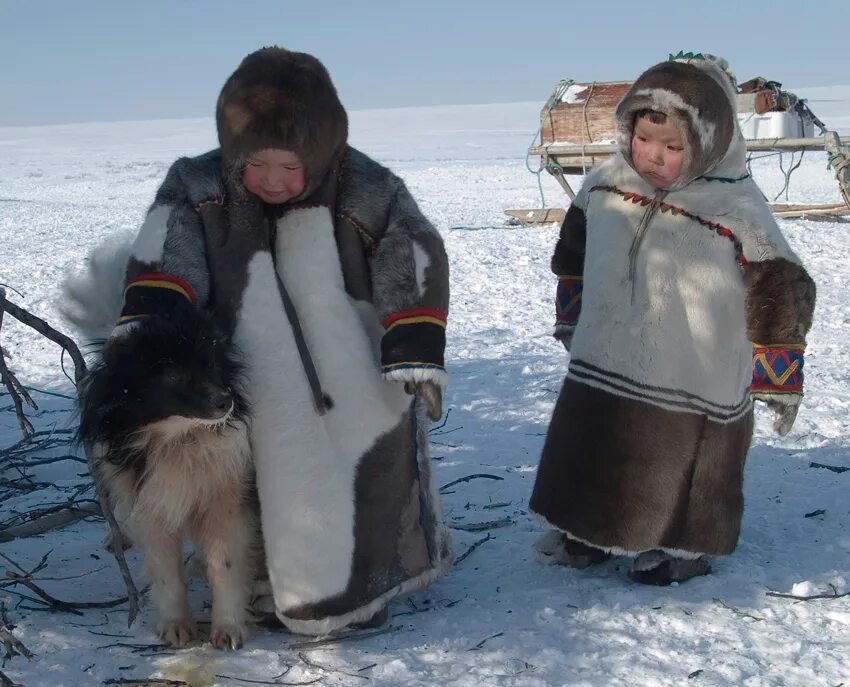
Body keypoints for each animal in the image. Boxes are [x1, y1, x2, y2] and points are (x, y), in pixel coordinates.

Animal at [64, 238, 255, 652]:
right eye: (171, 374)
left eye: (211, 364)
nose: (225, 401)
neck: (179, 438)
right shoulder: (151, 499)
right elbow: (166, 570)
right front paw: (175, 625)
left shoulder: (224, 497)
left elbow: (224, 563)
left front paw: (228, 628)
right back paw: (116, 535)